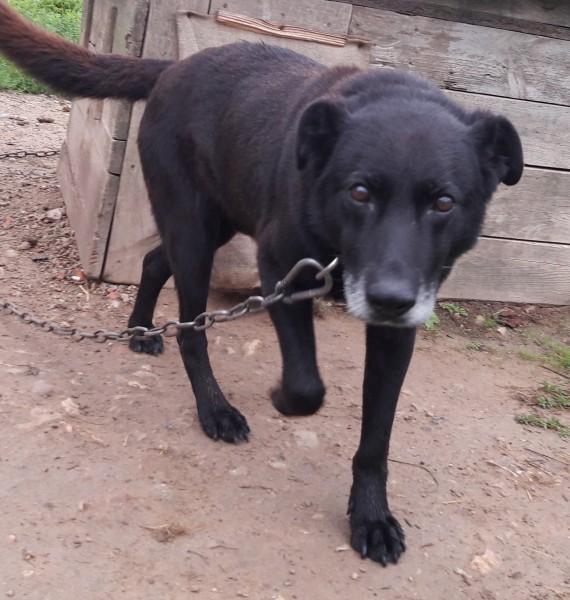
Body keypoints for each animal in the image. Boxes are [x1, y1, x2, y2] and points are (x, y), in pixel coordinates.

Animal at [0, 2, 523, 565]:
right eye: (359, 192)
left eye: (444, 203)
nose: (389, 300)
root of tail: (172, 66)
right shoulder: (280, 271)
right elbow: (306, 387)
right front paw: (280, 399)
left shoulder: (398, 331)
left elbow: (377, 436)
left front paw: (371, 517)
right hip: (195, 230)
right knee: (191, 330)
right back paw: (215, 409)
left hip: (216, 221)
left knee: (155, 262)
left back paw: (140, 330)